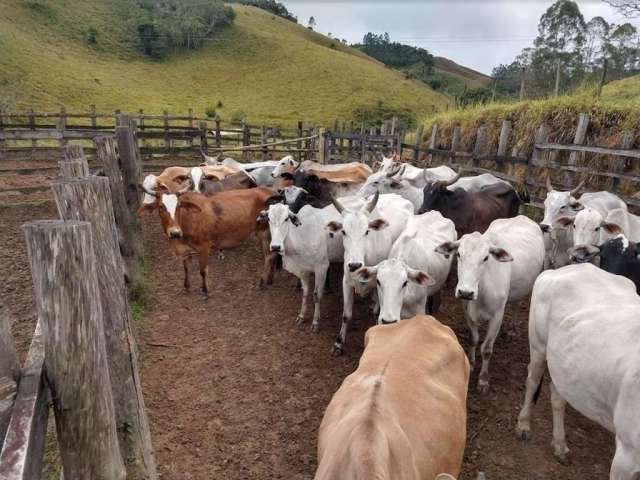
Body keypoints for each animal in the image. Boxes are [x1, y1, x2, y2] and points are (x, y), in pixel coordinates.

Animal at [140, 188, 276, 296]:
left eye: (178, 206)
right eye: (161, 207)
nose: (174, 232)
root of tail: (270, 191)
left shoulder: (204, 246)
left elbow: (202, 270)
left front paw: (205, 290)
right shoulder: (185, 250)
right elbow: (186, 269)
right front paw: (186, 286)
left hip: (266, 233)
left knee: (269, 256)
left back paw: (262, 281)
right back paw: (270, 279)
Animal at [324, 193, 416, 354]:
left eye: (367, 231)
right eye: (343, 232)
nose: (354, 265)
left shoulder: (378, 285)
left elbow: (377, 314)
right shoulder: (346, 282)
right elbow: (346, 315)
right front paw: (339, 343)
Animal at [436, 216, 544, 392]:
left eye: (486, 258)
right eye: (458, 254)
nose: (466, 292)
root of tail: (522, 217)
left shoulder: (497, 316)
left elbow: (487, 349)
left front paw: (483, 380)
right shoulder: (466, 310)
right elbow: (473, 339)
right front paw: (472, 364)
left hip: (525, 288)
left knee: (516, 305)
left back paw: (513, 329)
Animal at [516, 264, 640, 478]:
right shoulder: (627, 452)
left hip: (565, 368)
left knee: (558, 396)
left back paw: (560, 446)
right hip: (538, 344)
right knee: (532, 380)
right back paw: (523, 424)